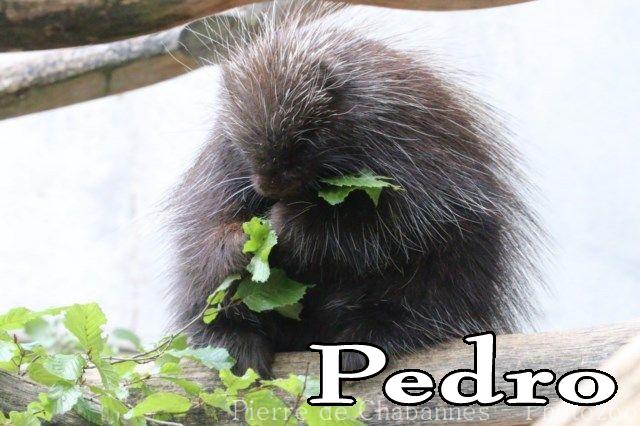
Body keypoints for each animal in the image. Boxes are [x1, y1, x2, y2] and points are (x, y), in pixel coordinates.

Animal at [168, 2, 542, 377]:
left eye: (306, 139)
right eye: (246, 145)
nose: (271, 186)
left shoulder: (402, 145)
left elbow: (389, 225)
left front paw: (284, 224)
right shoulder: (224, 162)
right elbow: (204, 227)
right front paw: (244, 242)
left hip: (455, 270)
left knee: (419, 300)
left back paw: (358, 343)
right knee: (205, 294)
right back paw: (238, 348)